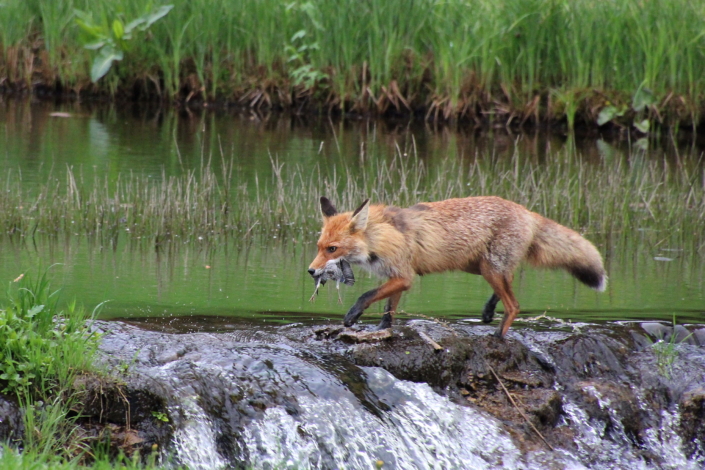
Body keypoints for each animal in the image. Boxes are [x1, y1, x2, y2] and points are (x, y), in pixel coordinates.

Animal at [306, 196, 604, 338]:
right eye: (319, 246)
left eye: (332, 249)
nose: (311, 271)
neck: (379, 237)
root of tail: (528, 212)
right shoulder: (398, 276)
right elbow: (389, 310)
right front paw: (382, 329)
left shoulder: (404, 276)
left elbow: (368, 295)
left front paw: (352, 315)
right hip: (482, 267)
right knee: (509, 284)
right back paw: (488, 310)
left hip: (489, 269)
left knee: (515, 305)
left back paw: (497, 337)